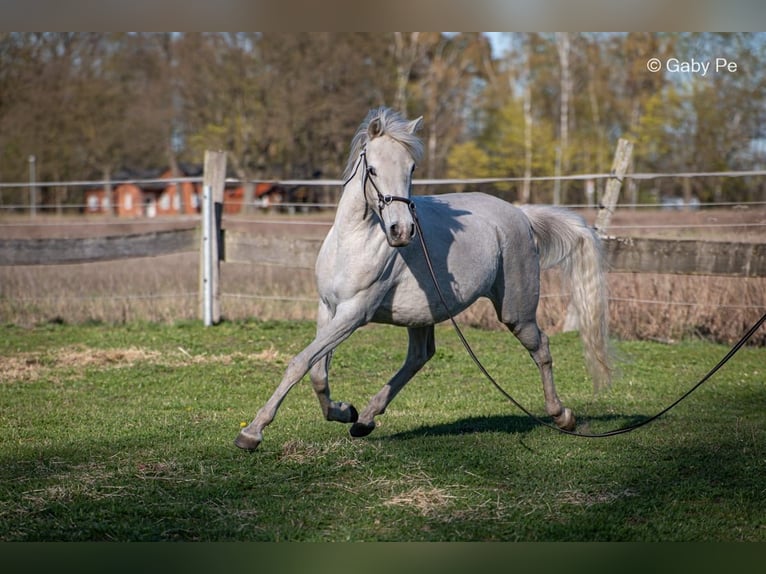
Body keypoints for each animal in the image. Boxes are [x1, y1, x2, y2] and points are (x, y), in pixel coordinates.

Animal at [235, 107, 611, 452]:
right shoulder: (328, 309)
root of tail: (520, 214)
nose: (401, 231)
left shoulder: (354, 314)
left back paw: (562, 416)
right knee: (419, 357)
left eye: (411, 169)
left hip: (516, 312)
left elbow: (299, 363)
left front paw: (252, 433)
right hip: (420, 315)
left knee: (541, 348)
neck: (353, 243)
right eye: (372, 169)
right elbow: (315, 371)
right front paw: (343, 411)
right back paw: (364, 420)